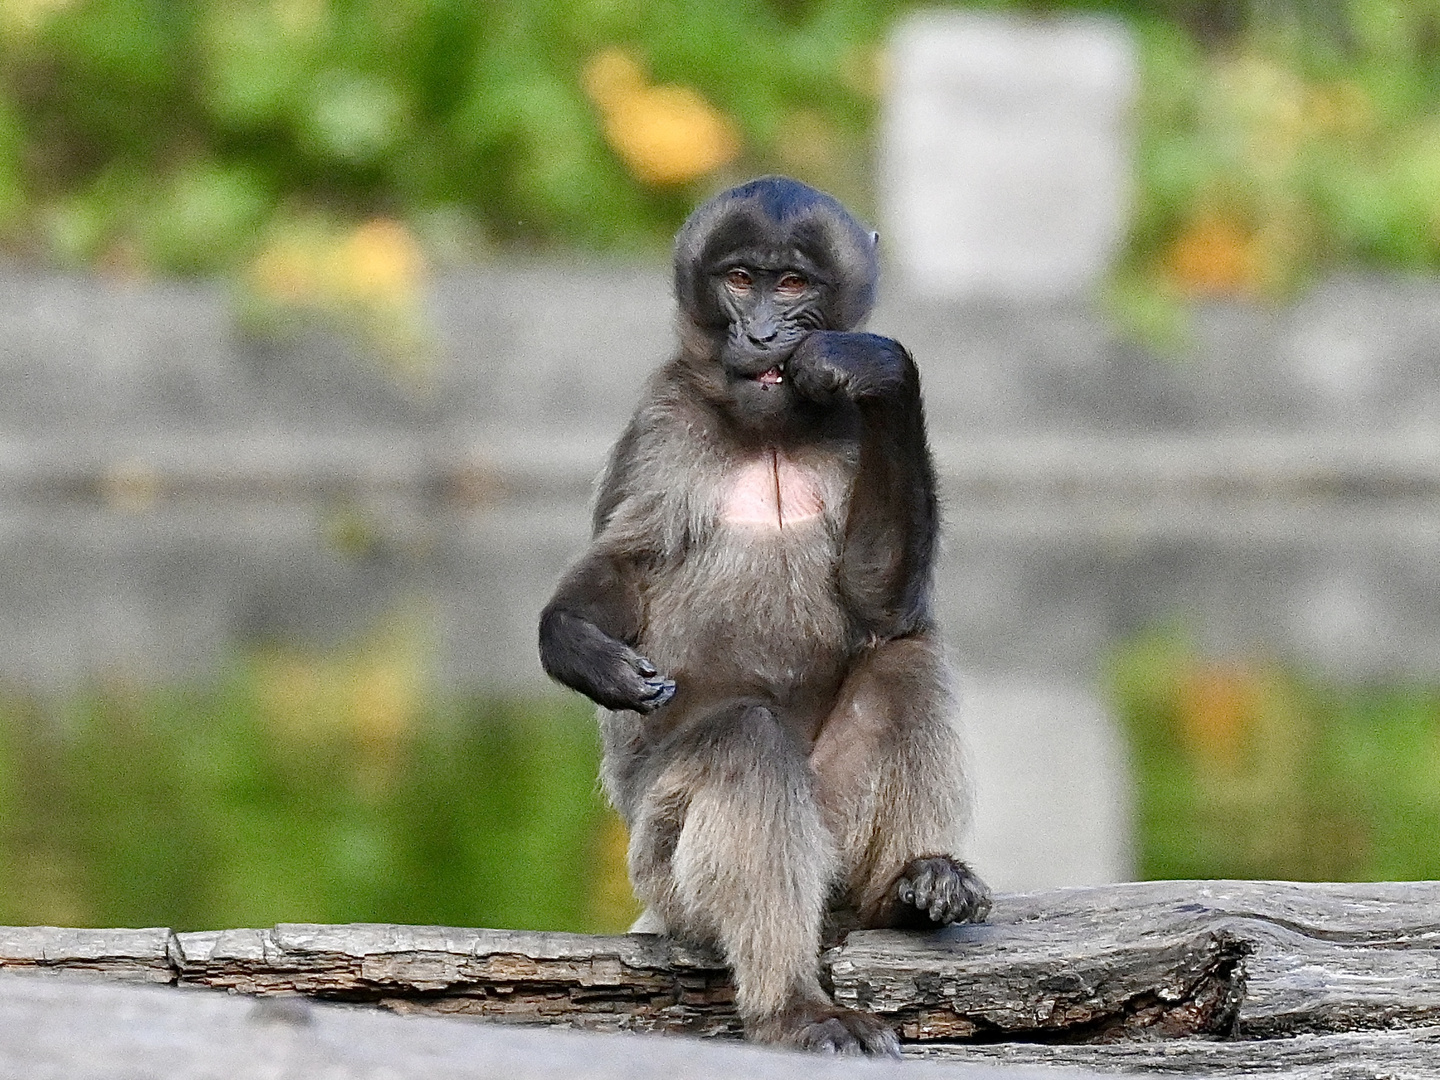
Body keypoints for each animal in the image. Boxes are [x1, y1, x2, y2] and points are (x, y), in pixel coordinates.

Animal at [541, 175, 990, 1059]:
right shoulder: (666, 423)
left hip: (834, 834)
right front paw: (576, 646)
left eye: (792, 285)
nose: (763, 333)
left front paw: (879, 370)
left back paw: (908, 887)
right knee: (746, 742)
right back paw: (793, 1005)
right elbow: (628, 571)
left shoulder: (847, 427)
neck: (769, 435)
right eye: (741, 280)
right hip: (662, 866)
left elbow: (880, 605)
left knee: (905, 657)